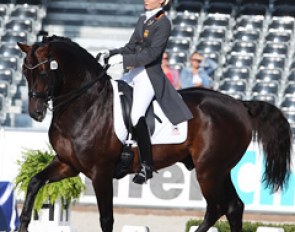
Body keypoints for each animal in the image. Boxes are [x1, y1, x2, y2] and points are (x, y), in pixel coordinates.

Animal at [17, 35, 292, 232]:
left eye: (43, 72)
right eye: (24, 72)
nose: (36, 113)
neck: (86, 104)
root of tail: (240, 104)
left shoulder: (100, 172)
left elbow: (106, 219)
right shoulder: (68, 164)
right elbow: (34, 183)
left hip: (209, 170)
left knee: (216, 208)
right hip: (220, 170)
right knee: (233, 207)